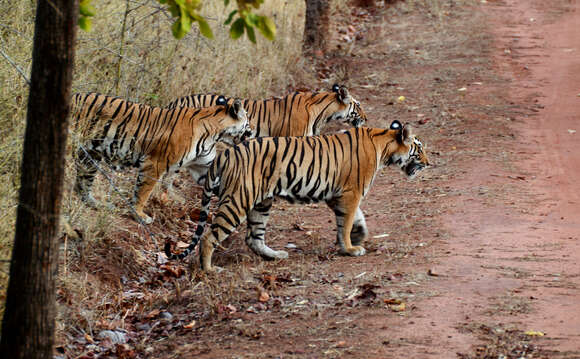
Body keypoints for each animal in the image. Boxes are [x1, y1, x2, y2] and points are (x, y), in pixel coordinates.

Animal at [71, 92, 251, 225]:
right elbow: (143, 191)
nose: (252, 133)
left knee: (82, 185)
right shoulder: (155, 163)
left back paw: (96, 204)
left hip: (90, 157)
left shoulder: (204, 167)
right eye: (248, 122)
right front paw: (139, 215)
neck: (216, 133)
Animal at [165, 119, 428, 272]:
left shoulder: (337, 195)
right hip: (238, 201)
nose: (429, 163)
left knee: (253, 237)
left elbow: (354, 218)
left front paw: (358, 236)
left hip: (261, 202)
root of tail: (225, 154)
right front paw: (350, 248)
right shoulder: (351, 193)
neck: (384, 146)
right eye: (420, 149)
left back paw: (276, 256)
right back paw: (209, 270)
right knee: (209, 236)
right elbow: (346, 222)